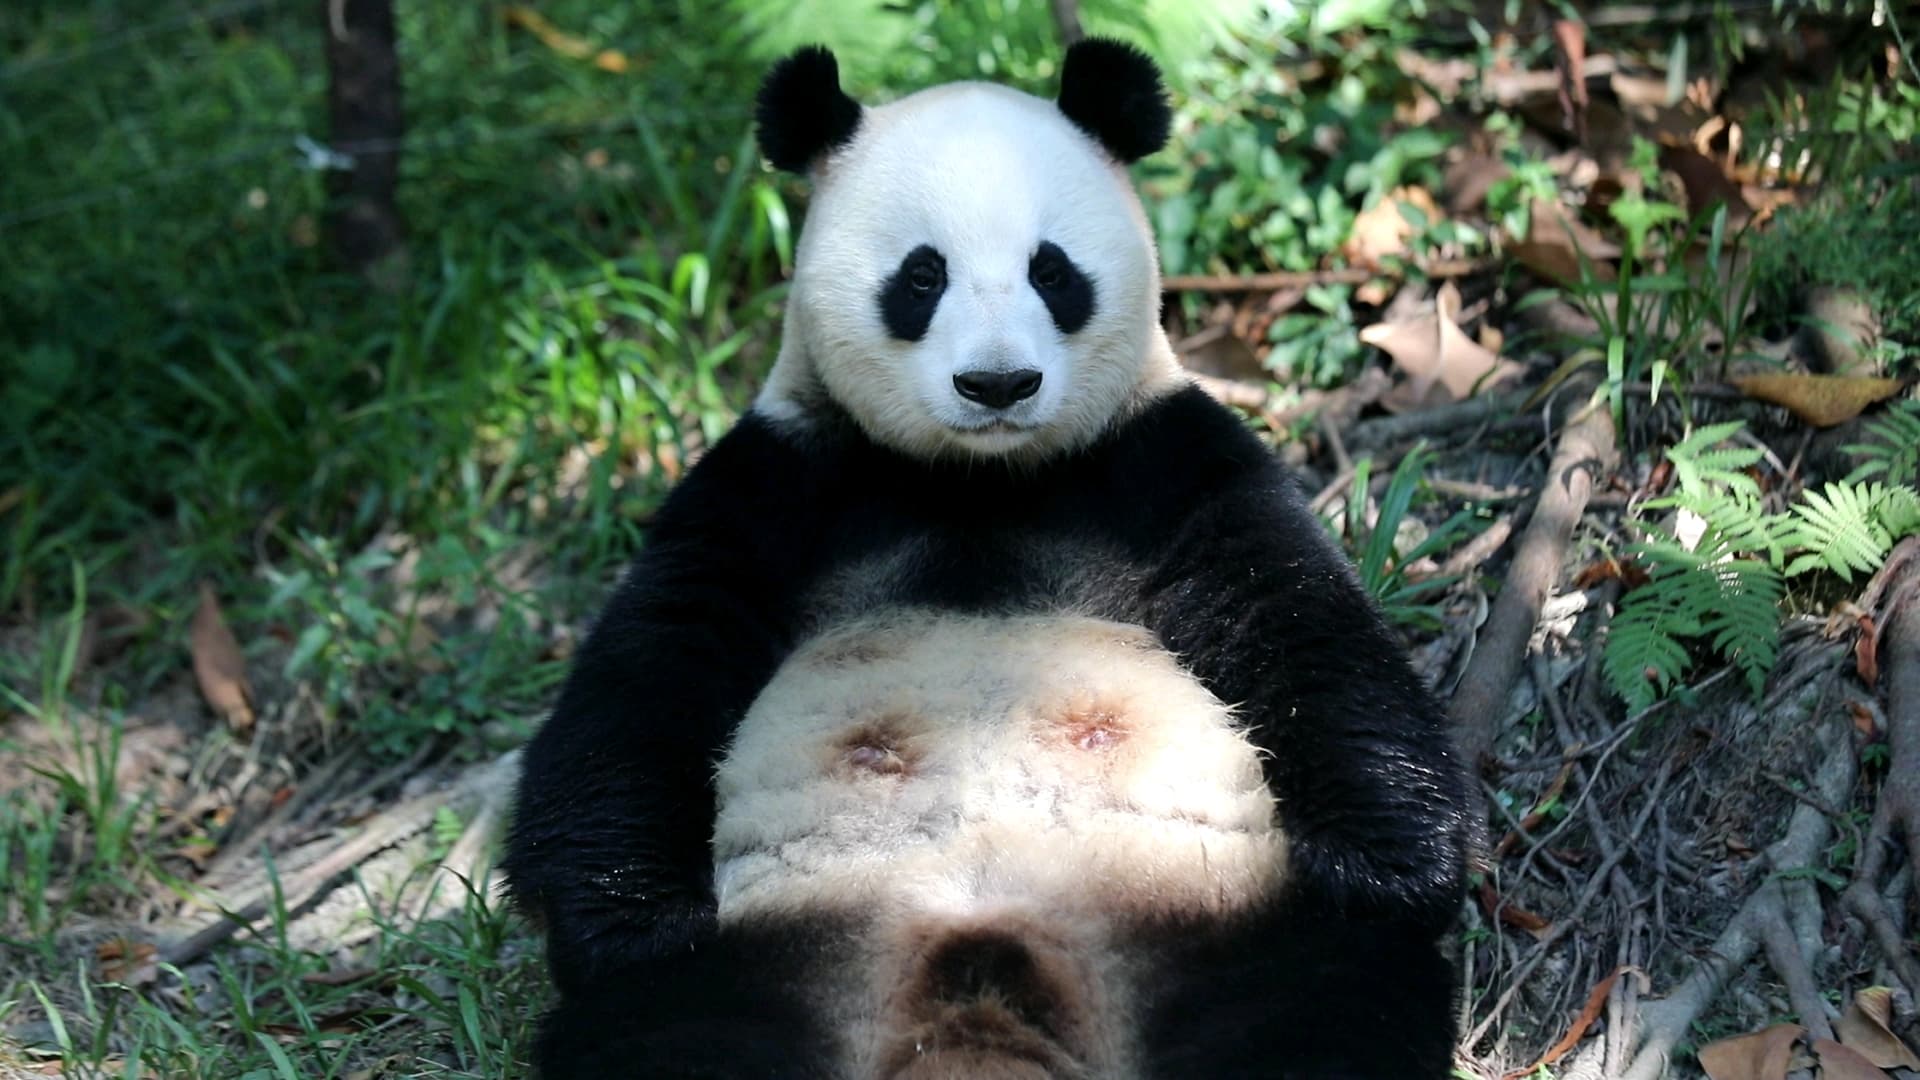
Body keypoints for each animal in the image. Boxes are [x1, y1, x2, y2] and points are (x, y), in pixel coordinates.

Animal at [504, 39, 1471, 1080]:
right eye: (921, 277)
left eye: (1053, 271)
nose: (998, 383)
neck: (979, 478)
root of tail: (978, 1008)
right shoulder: (780, 478)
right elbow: (655, 658)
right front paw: (630, 915)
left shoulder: (1162, 458)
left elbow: (1294, 613)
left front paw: (1384, 866)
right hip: (779, 958)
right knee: (676, 1032)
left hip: (1220, 925)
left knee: (1319, 1009)